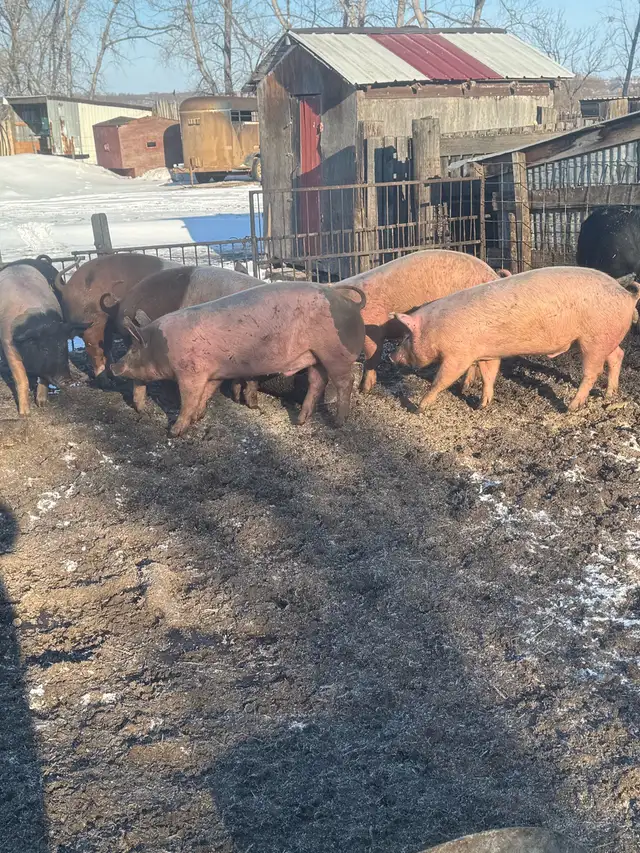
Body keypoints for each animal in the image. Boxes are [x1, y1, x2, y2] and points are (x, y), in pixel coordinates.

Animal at [0, 265, 88, 415]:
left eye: (64, 346)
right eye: (44, 349)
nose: (66, 380)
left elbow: (43, 377)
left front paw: (42, 404)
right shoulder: (8, 344)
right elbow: (21, 378)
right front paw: (25, 414)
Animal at [54, 253, 179, 383]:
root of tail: (67, 286)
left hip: (104, 327)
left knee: (106, 348)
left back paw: (116, 379)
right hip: (92, 324)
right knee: (96, 352)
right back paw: (106, 383)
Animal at [110, 281, 366, 436]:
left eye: (133, 350)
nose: (114, 366)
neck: (161, 345)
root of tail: (351, 304)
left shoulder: (191, 373)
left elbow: (189, 399)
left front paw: (174, 431)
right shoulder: (213, 373)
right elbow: (206, 394)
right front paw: (199, 417)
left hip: (335, 354)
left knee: (345, 382)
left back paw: (338, 422)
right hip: (315, 357)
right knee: (317, 383)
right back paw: (299, 421)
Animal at [390, 267, 640, 412]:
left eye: (407, 336)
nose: (392, 357)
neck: (436, 328)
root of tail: (627, 295)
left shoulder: (458, 356)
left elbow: (441, 380)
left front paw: (419, 407)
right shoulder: (487, 353)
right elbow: (489, 375)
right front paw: (482, 405)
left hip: (593, 339)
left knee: (593, 371)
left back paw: (571, 407)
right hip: (606, 337)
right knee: (617, 356)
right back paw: (609, 394)